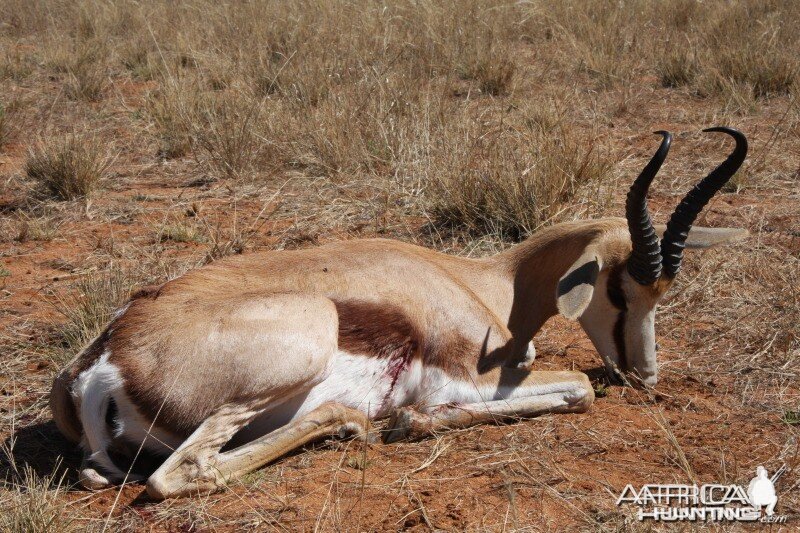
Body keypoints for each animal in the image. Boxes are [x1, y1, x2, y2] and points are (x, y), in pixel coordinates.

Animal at [53, 127, 748, 496]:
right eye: (620, 288)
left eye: (662, 293)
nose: (645, 376)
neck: (482, 281)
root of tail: (103, 362)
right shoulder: (468, 377)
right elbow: (577, 387)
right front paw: (410, 421)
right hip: (302, 344)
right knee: (178, 475)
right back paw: (356, 421)